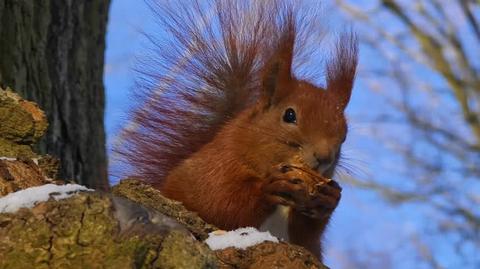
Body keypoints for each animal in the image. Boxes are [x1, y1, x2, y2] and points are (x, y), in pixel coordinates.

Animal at [115, 0, 356, 260]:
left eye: (344, 134)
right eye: (289, 115)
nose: (324, 157)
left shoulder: (304, 239)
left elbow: (306, 239)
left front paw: (328, 199)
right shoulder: (216, 168)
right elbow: (220, 204)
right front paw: (269, 187)